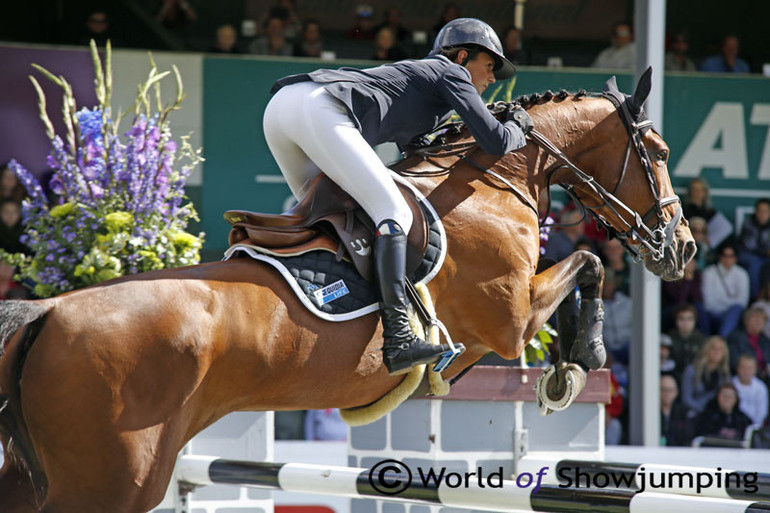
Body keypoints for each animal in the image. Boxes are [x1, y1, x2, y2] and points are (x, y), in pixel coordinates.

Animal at [0, 69, 692, 512]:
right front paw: (579, 365)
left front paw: (567, 366)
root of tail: (44, 314)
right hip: (112, 482)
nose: (682, 247)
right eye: (657, 152)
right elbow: (588, 263)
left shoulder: (480, 343)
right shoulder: (510, 318)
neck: (492, 181)